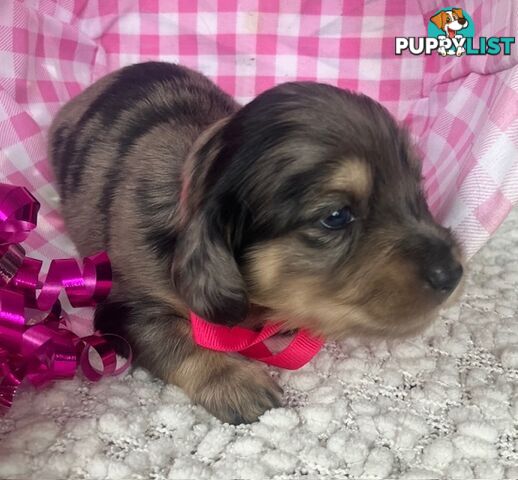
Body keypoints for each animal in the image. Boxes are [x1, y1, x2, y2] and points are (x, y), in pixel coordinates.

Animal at [47, 61, 464, 424]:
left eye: (417, 190)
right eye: (335, 216)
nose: (454, 273)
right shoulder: (125, 309)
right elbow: (176, 340)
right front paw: (234, 382)